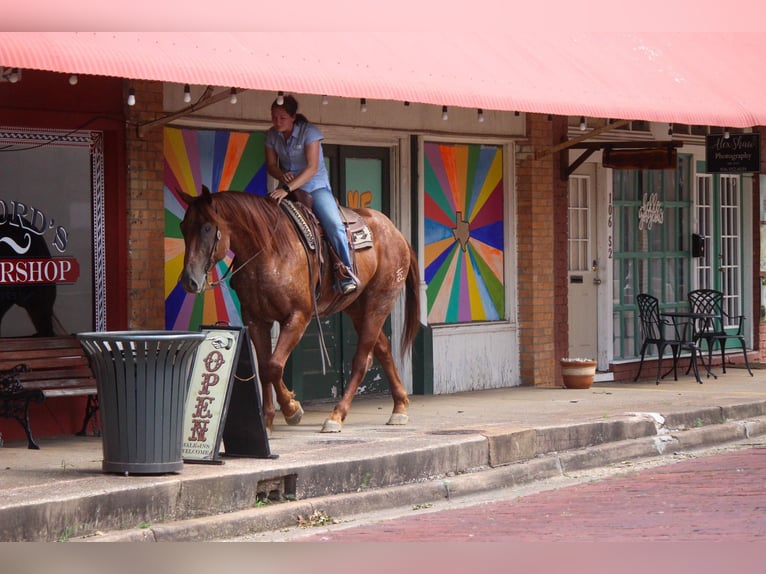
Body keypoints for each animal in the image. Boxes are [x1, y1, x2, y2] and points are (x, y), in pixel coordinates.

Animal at [178, 187, 424, 434]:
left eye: (207, 227)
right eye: (182, 226)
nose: (189, 280)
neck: (270, 250)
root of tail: (397, 233)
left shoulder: (298, 316)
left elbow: (274, 366)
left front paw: (290, 409)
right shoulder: (256, 319)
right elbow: (264, 367)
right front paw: (268, 419)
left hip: (379, 302)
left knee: (362, 360)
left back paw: (337, 415)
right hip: (357, 308)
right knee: (382, 348)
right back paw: (399, 406)